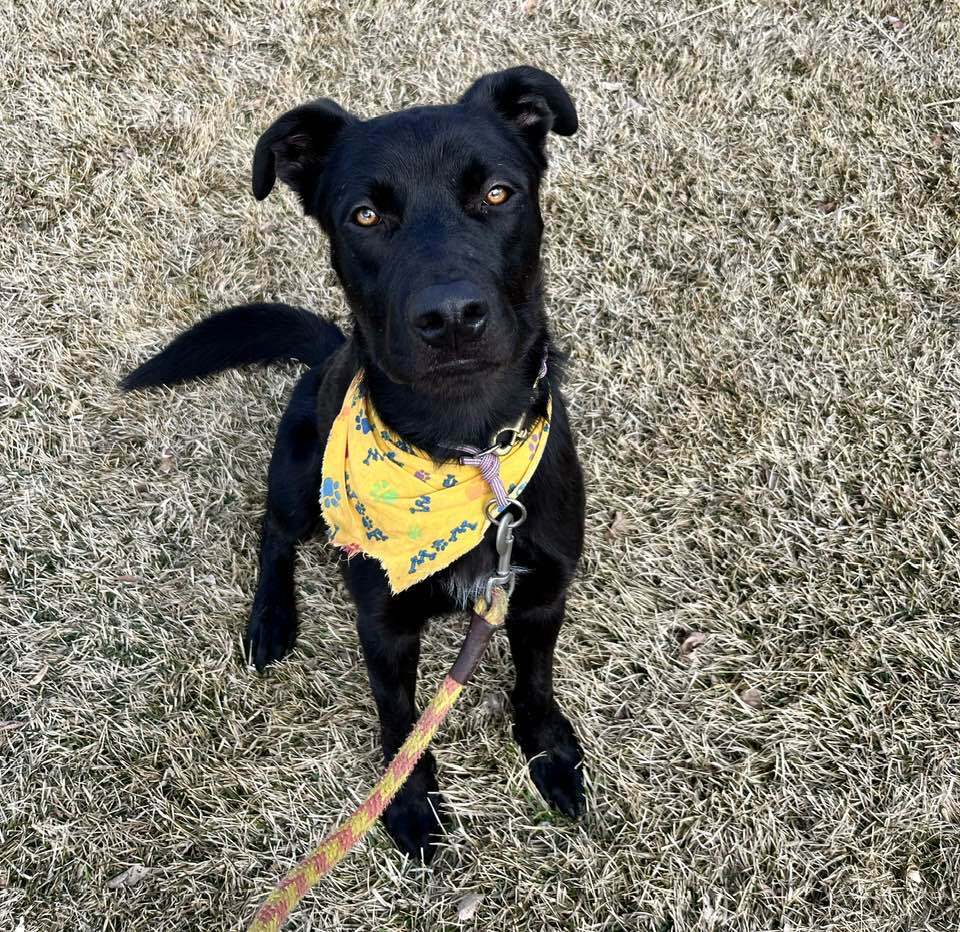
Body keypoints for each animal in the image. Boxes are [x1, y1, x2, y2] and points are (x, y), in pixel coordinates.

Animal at [121, 65, 584, 864]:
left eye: (498, 194)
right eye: (365, 216)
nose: (451, 317)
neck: (467, 451)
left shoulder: (538, 592)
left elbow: (535, 679)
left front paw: (548, 750)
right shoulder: (384, 622)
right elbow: (399, 718)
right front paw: (409, 804)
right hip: (298, 469)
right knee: (275, 536)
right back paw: (272, 619)